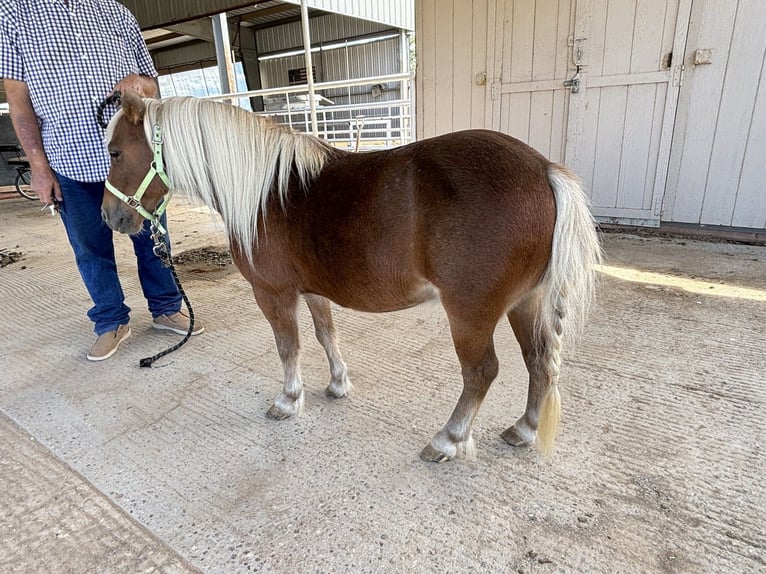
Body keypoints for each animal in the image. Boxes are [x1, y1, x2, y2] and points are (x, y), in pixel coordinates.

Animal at [102, 92, 604, 466]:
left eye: (115, 151)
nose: (111, 217)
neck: (266, 190)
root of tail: (543, 169)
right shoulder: (312, 290)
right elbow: (326, 335)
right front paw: (337, 385)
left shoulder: (273, 293)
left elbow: (288, 347)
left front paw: (289, 400)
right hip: (526, 302)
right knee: (539, 361)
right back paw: (525, 429)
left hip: (470, 313)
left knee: (481, 372)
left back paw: (447, 439)